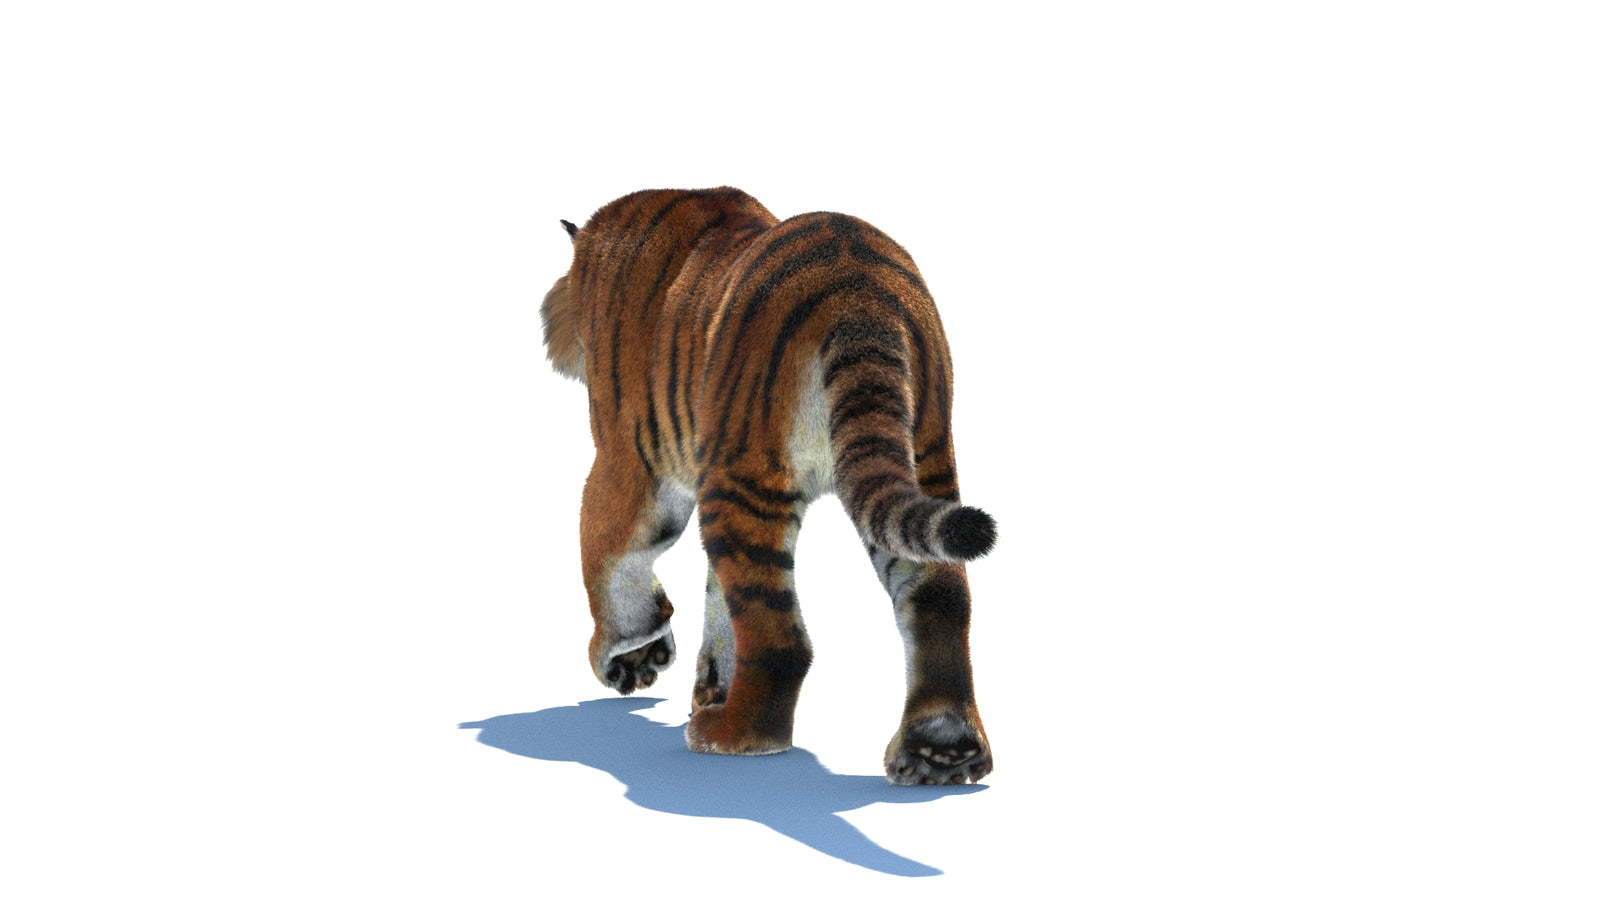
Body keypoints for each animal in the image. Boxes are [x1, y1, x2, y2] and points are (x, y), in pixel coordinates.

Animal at [540, 187, 996, 785]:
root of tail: (861, 290)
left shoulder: (629, 460)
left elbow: (607, 551)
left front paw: (629, 655)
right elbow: (716, 599)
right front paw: (707, 683)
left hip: (744, 483)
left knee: (783, 641)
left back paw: (730, 737)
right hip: (922, 460)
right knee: (941, 595)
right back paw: (940, 752)